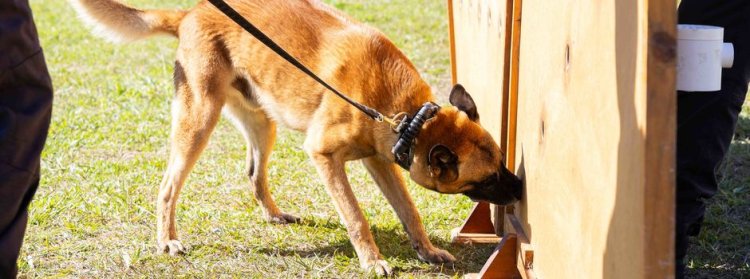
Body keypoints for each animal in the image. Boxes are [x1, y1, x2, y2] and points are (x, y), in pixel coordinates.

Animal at [73, 0, 524, 276]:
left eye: (502, 162)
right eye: (486, 179)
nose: (520, 187)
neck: (407, 117)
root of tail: (191, 13)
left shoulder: (379, 160)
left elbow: (409, 211)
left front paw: (427, 251)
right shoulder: (324, 156)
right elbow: (356, 217)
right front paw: (372, 261)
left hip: (262, 123)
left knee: (254, 174)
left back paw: (274, 215)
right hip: (198, 122)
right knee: (168, 186)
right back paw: (168, 239)